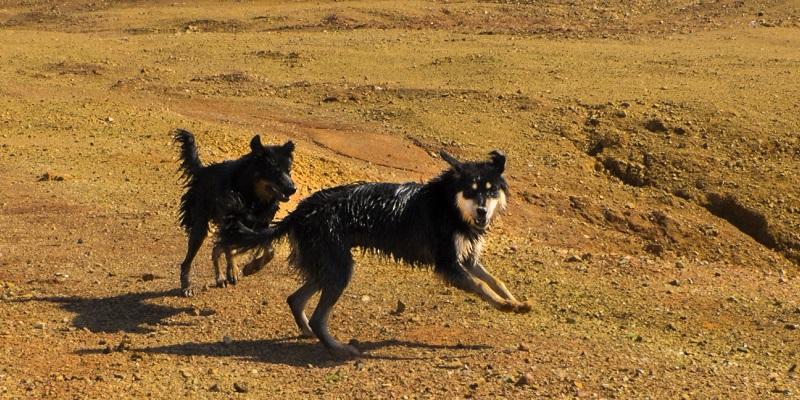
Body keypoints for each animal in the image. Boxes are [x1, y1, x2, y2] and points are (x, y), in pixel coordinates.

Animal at [173, 128, 296, 296]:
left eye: (288, 170)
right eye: (275, 171)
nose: (293, 189)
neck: (252, 195)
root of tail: (202, 171)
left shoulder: (261, 226)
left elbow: (269, 251)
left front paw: (252, 267)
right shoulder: (231, 221)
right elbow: (230, 250)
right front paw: (234, 270)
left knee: (216, 249)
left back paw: (220, 278)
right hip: (200, 225)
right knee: (188, 261)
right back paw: (187, 286)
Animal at [219, 148, 532, 358]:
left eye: (490, 191)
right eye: (470, 190)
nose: (481, 212)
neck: (449, 205)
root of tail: (300, 211)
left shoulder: (467, 258)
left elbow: (495, 280)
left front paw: (516, 302)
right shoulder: (449, 264)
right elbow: (481, 285)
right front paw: (504, 306)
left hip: (328, 264)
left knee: (295, 299)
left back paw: (307, 330)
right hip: (339, 266)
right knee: (319, 316)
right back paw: (339, 348)